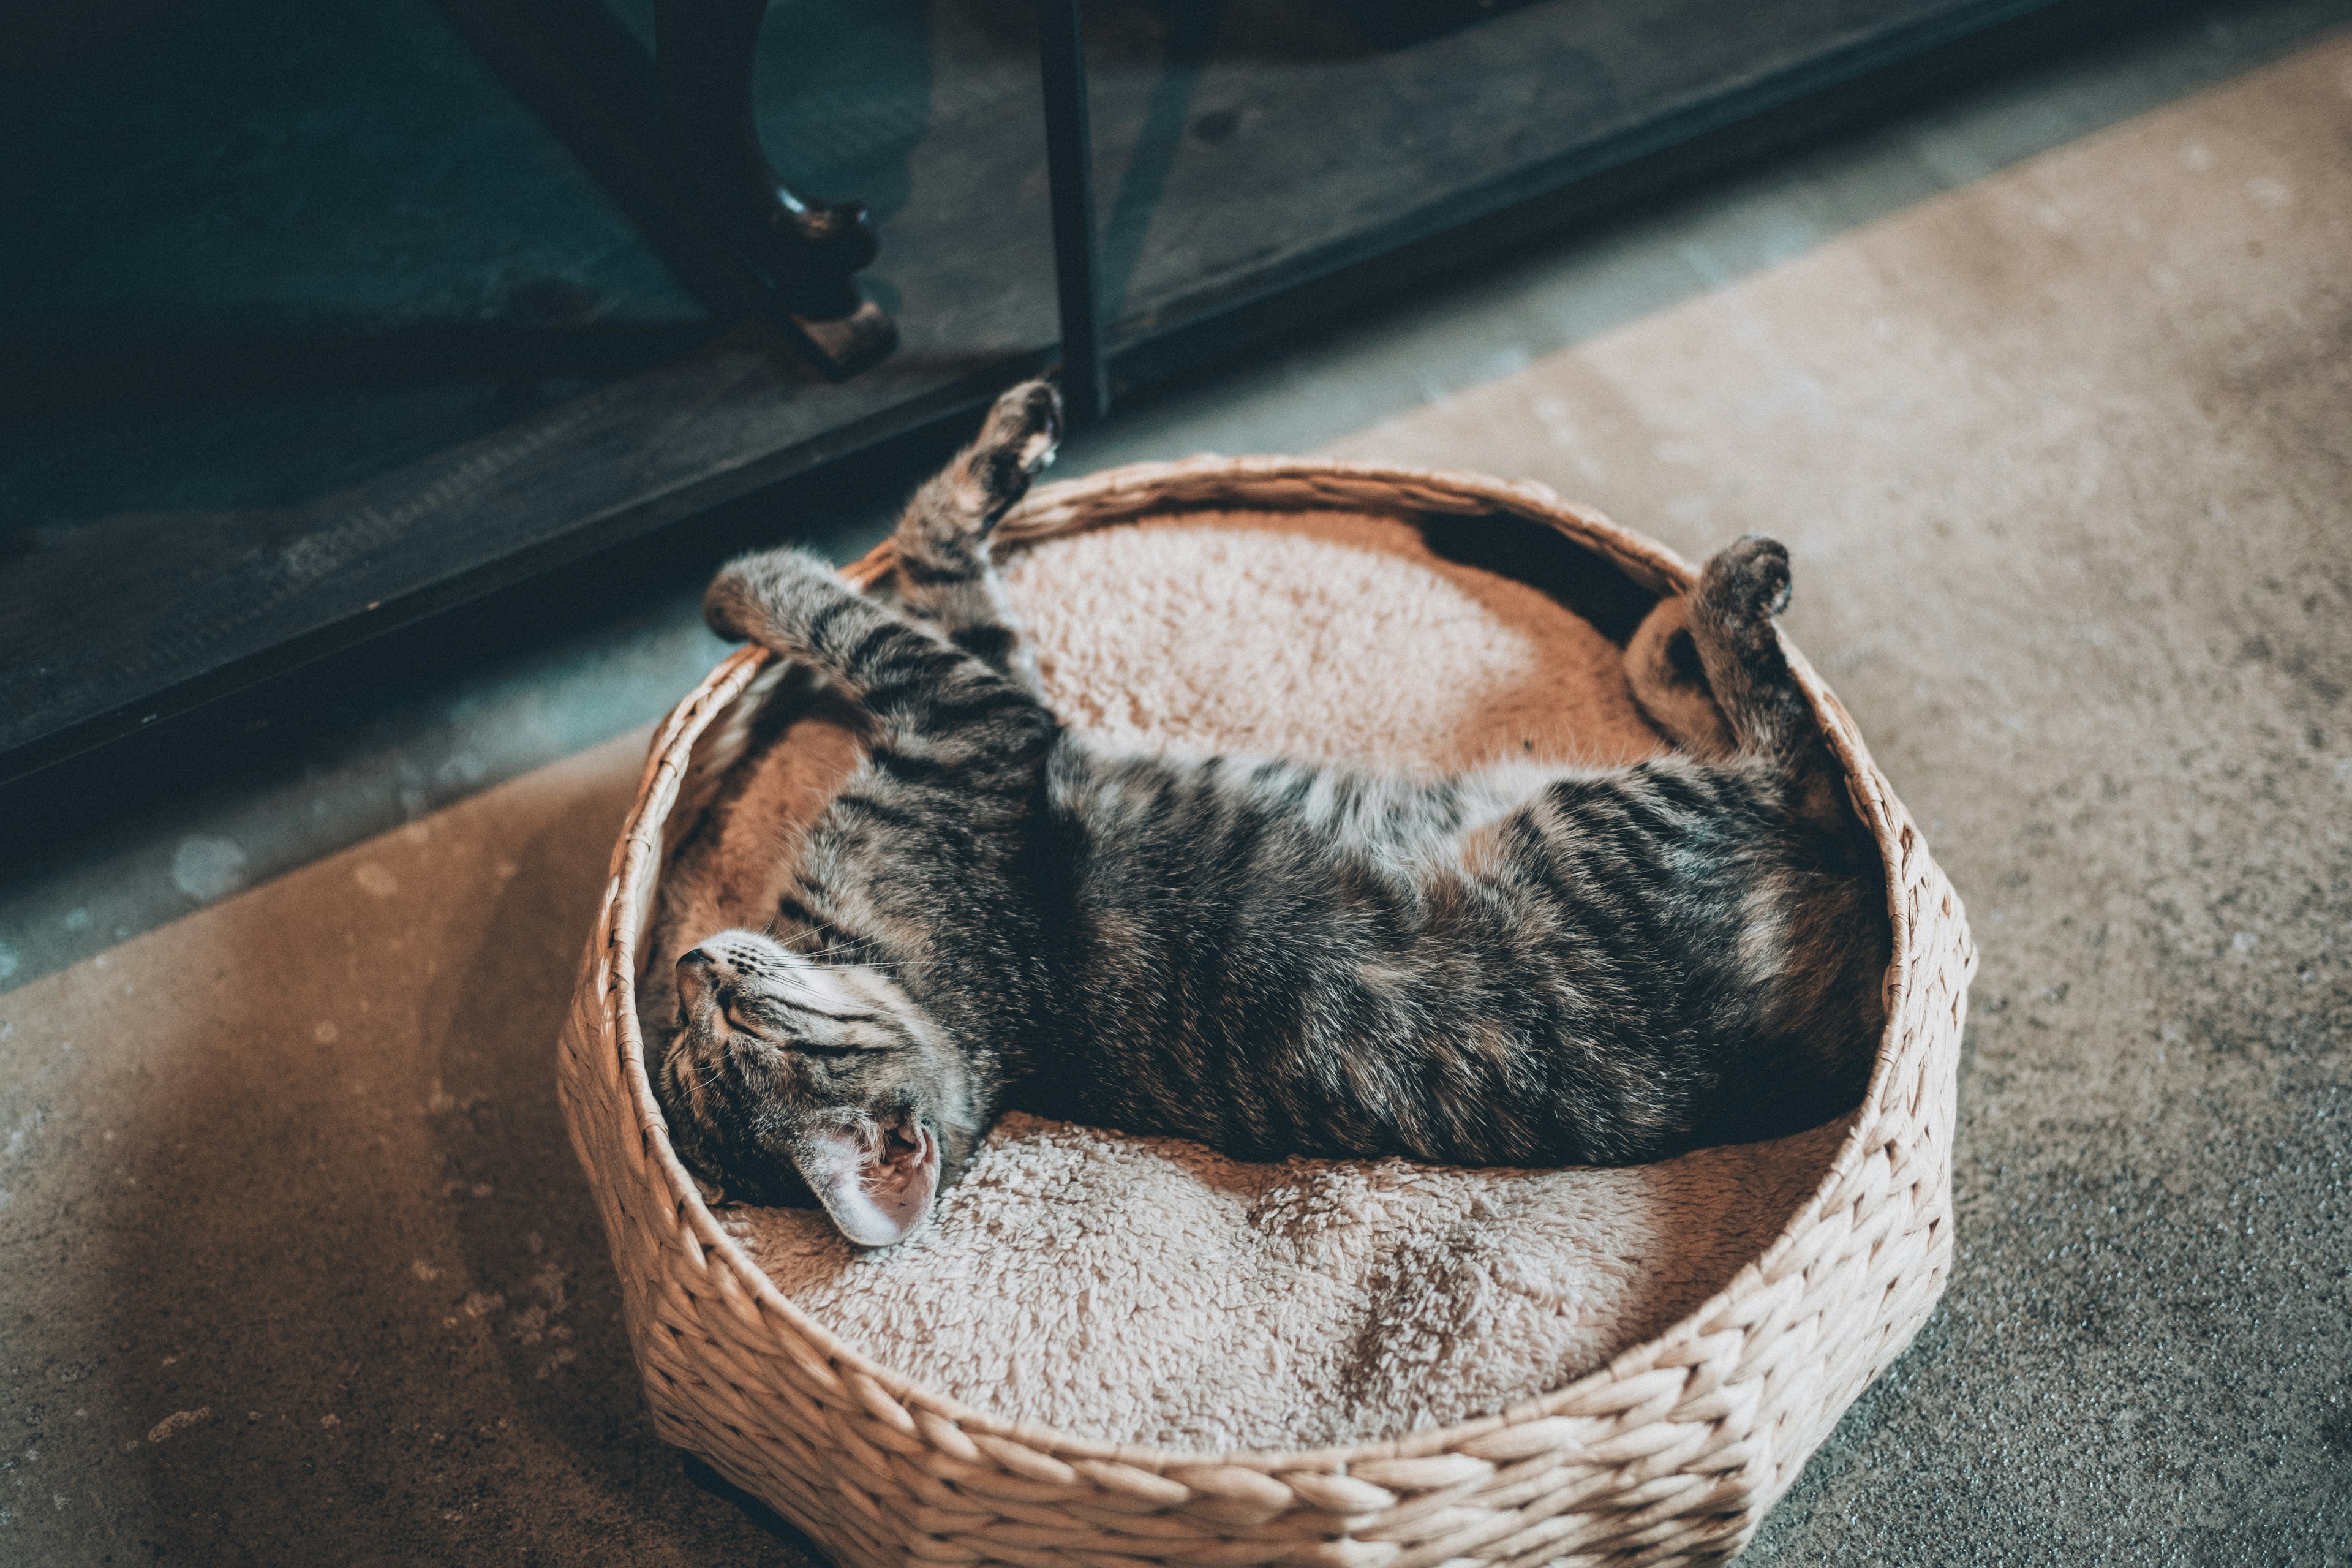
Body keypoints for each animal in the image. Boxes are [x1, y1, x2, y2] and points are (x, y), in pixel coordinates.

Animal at [654, 374, 1882, 1241]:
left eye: (718, 1025)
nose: (690, 964)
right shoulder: (975, 719)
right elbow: (867, 589)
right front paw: (743, 582)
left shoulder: (984, 703)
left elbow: (927, 554)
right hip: (1621, 811)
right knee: (1795, 752)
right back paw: (1729, 590)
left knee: (1762, 731)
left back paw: (1681, 619)